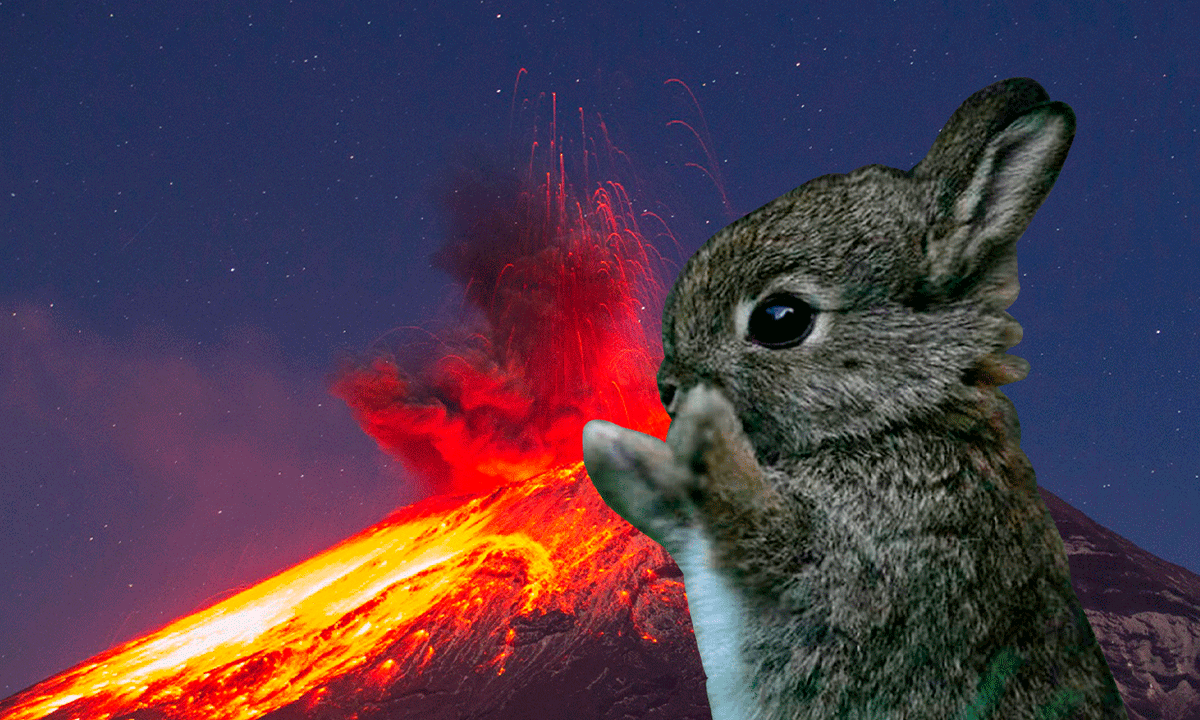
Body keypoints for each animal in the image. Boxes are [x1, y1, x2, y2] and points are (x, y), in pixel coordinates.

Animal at [582, 78, 1128, 720]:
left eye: (781, 318)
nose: (668, 386)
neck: (900, 418)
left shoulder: (861, 556)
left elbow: (752, 519)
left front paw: (699, 431)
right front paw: (612, 445)